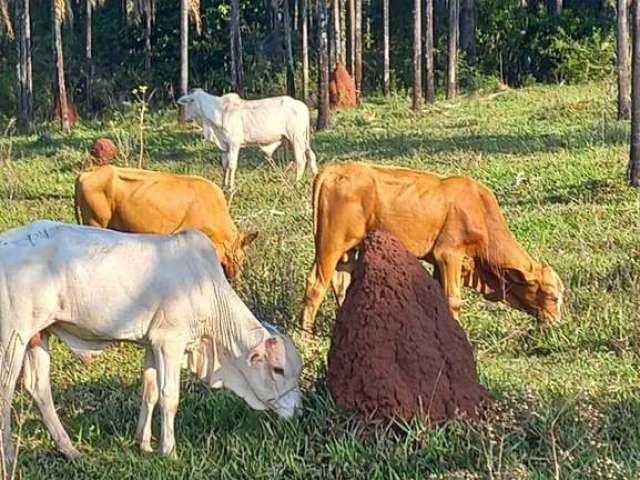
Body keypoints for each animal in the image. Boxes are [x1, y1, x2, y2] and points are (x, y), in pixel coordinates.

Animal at [0, 220, 302, 462]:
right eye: (278, 369)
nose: (297, 411)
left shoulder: (151, 343)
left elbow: (150, 391)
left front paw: (143, 443)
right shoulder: (170, 342)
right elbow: (169, 397)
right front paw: (169, 451)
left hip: (38, 334)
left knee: (38, 387)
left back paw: (69, 449)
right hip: (13, 336)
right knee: (6, 390)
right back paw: (9, 455)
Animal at [178, 89, 318, 190]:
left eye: (189, 102)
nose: (183, 118)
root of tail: (302, 105)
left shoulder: (234, 144)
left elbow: (232, 165)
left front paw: (231, 187)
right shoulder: (224, 146)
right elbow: (225, 165)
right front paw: (223, 185)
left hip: (296, 138)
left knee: (301, 160)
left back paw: (296, 183)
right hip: (302, 140)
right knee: (311, 155)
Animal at [302, 163, 564, 332]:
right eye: (551, 296)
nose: (557, 324)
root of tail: (333, 170)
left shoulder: (441, 262)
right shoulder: (449, 254)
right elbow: (453, 299)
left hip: (348, 247)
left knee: (340, 283)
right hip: (331, 242)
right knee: (316, 284)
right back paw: (307, 334)